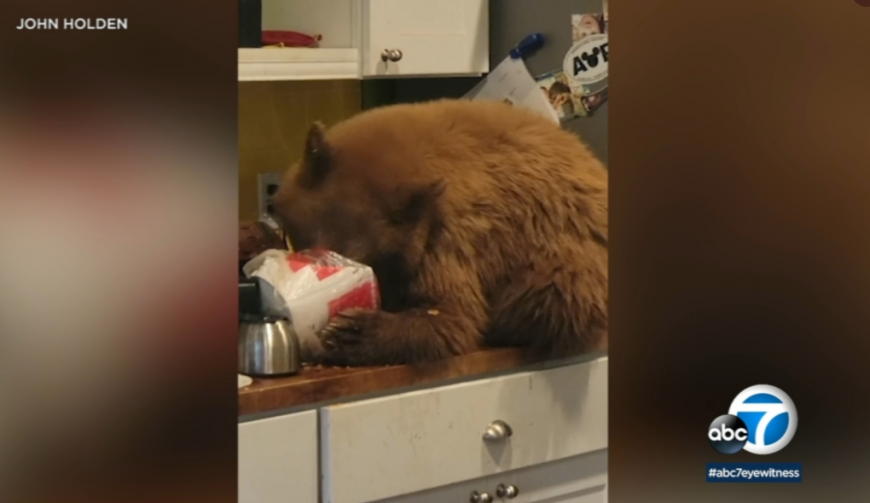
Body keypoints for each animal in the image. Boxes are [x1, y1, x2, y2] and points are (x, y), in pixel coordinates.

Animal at [272, 99, 608, 366]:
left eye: (358, 258)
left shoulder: (448, 236)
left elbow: (453, 317)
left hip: (568, 261)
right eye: (300, 242)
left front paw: (352, 332)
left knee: (553, 295)